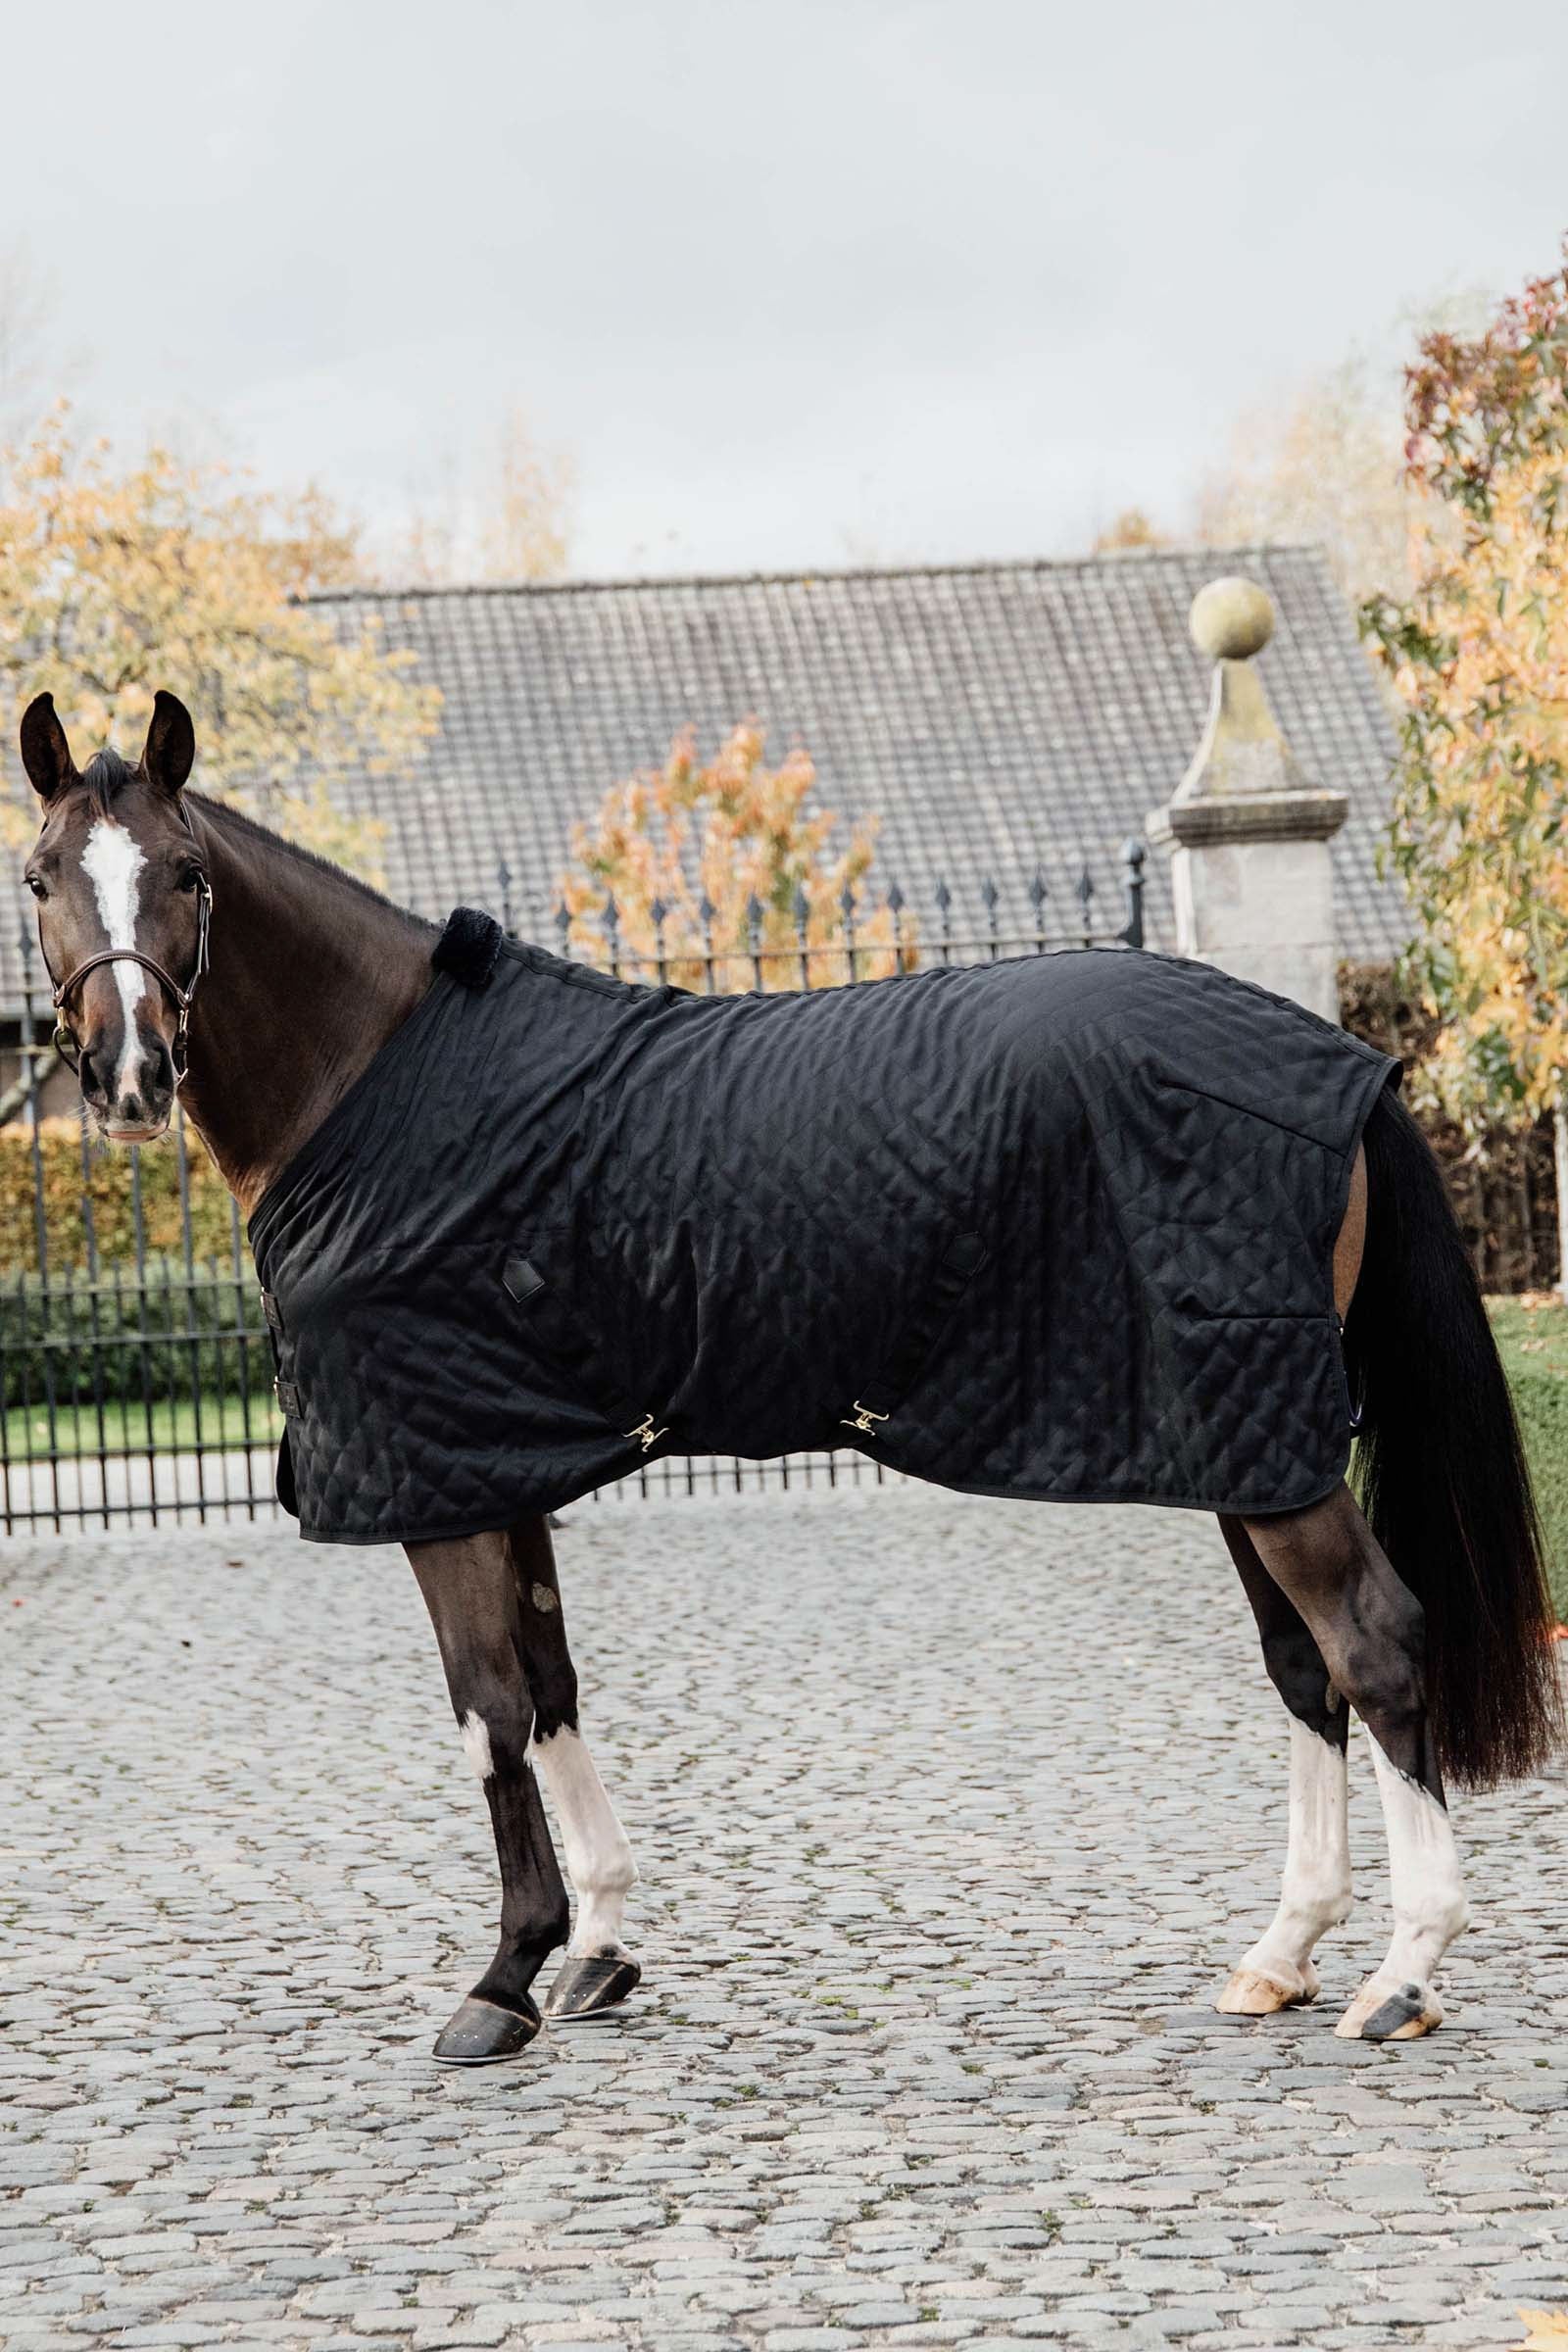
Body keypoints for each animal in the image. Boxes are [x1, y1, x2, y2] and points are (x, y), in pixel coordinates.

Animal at [16, 688, 1562, 2065]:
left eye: (187, 874)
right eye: (41, 876)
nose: (130, 1074)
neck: (381, 1080)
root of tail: (1341, 1064)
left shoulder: (436, 1475)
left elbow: (489, 1711)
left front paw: (503, 1981)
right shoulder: (502, 1458)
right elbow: (553, 1683)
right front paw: (599, 1950)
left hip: (1267, 1438)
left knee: (1375, 1644)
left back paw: (1403, 1976)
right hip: (1242, 1435)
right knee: (1305, 1669)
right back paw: (1283, 1955)